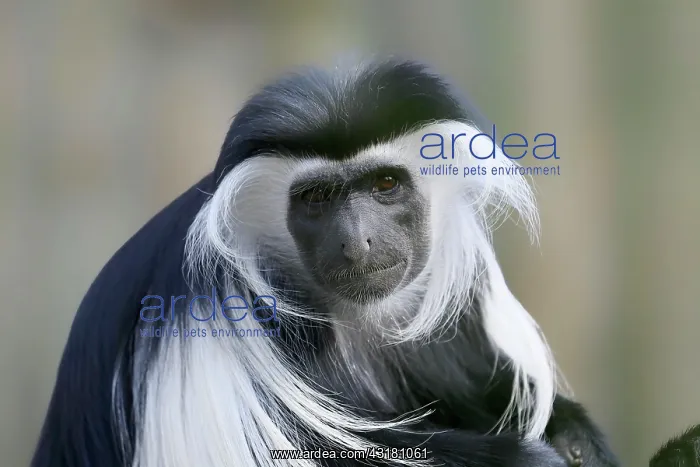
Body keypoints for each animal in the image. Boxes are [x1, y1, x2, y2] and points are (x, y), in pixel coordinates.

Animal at [31, 58, 620, 467]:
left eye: (385, 185)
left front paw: (574, 440)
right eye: (315, 198)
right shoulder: (224, 306)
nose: (358, 242)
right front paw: (530, 457)